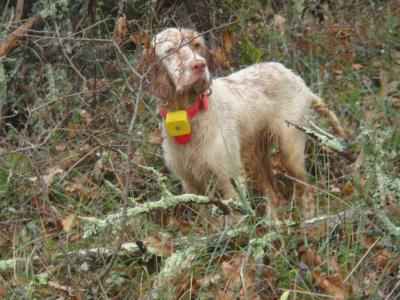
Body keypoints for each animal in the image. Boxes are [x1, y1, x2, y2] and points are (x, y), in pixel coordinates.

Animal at [133, 28, 346, 218]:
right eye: (170, 51)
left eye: (196, 45)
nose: (200, 65)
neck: (188, 116)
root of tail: (295, 76)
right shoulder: (192, 186)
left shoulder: (230, 180)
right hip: (255, 155)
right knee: (275, 196)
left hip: (289, 148)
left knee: (306, 189)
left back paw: (309, 224)